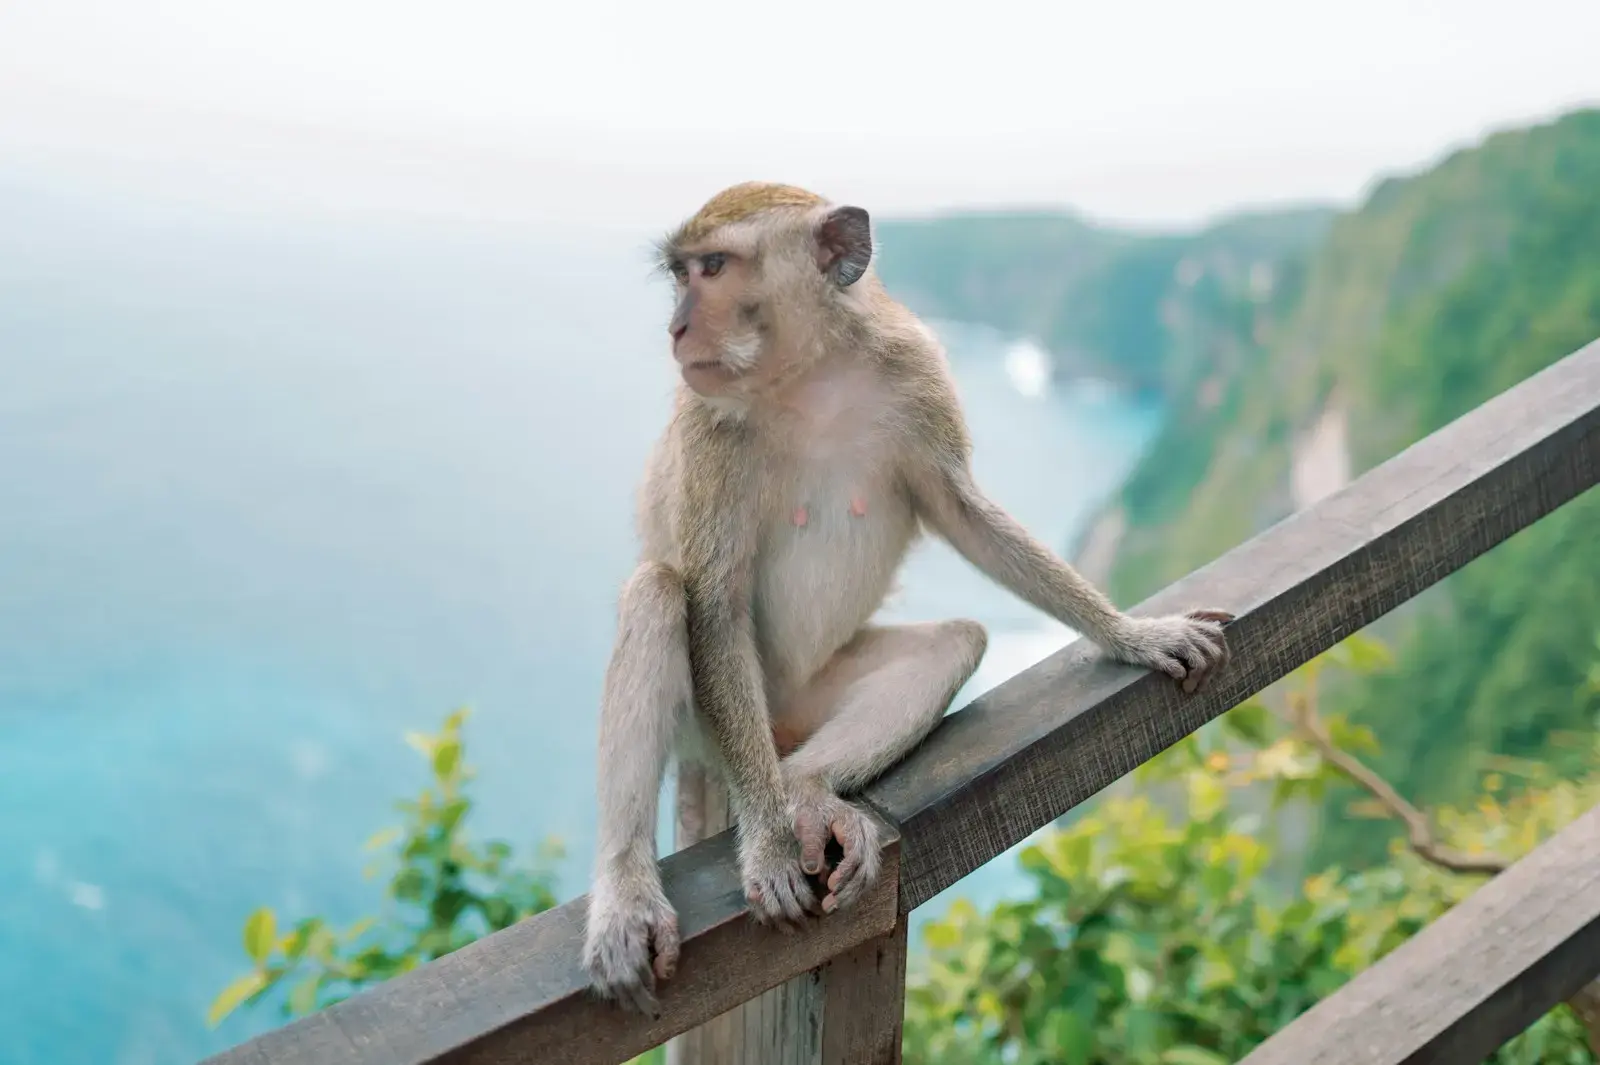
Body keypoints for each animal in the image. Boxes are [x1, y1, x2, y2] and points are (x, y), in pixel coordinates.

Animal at [581, 182, 1233, 1014]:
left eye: (714, 267)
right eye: (679, 275)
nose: (677, 326)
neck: (810, 377)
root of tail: (773, 731)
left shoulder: (913, 372)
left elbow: (963, 512)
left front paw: (1134, 634)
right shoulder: (708, 432)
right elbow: (715, 604)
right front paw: (767, 846)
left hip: (804, 705)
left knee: (953, 641)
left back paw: (806, 793)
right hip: (717, 728)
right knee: (659, 594)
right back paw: (631, 888)